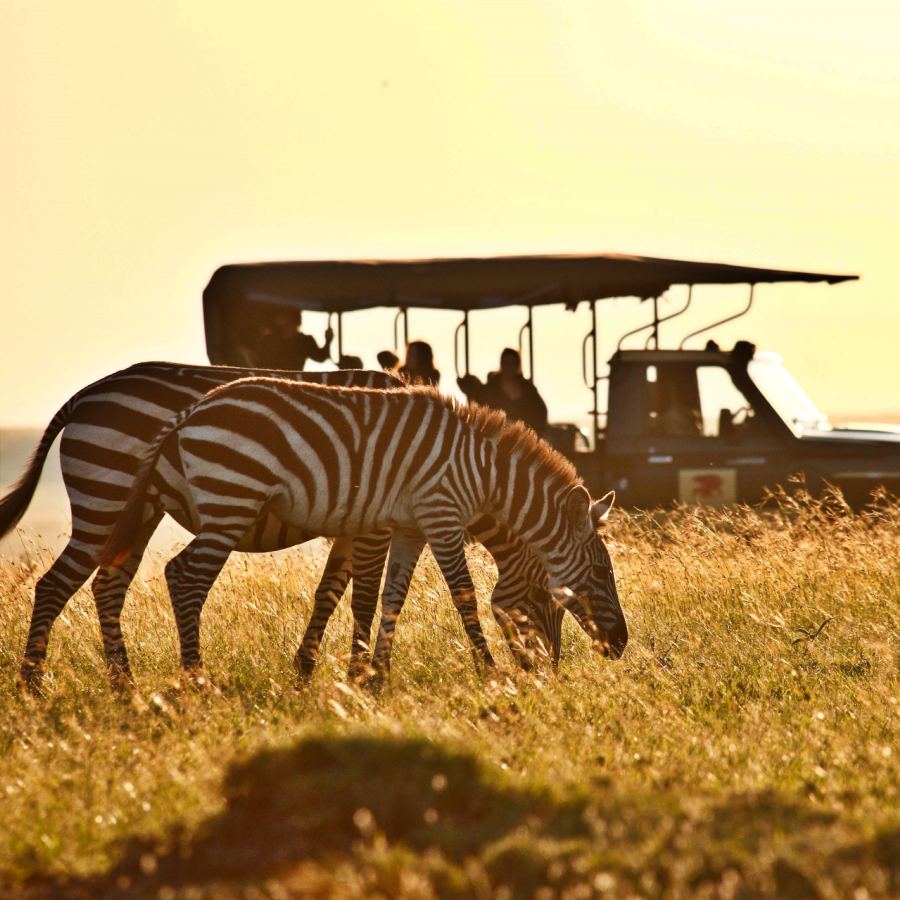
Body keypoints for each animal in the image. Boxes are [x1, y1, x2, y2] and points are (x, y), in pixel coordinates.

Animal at [1, 362, 564, 692]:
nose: (552, 671)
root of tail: (84, 395)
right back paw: (35, 686)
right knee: (56, 585)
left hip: (136, 514)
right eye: (550, 598)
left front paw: (307, 669)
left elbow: (330, 592)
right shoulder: (373, 523)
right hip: (108, 498)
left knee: (107, 585)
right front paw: (357, 674)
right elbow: (362, 596)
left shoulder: (353, 522)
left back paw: (125, 688)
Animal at [98, 372, 624, 676]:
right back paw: (196, 680)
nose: (620, 646)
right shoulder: (441, 515)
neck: (483, 472)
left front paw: (378, 679)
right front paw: (489, 673)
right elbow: (463, 595)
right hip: (231, 500)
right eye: (602, 573)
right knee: (184, 576)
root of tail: (191, 411)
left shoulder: (411, 527)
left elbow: (393, 598)